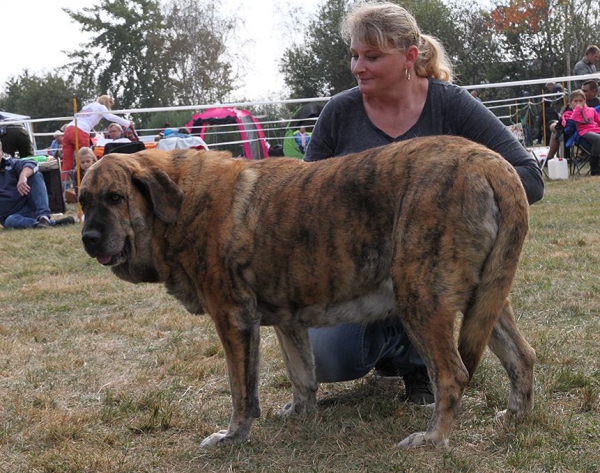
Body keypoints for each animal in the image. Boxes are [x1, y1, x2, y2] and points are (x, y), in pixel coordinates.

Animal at [78, 135, 536, 448]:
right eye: (83, 201)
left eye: (115, 198)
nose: (88, 238)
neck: (184, 204)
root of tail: (490, 164)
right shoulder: (286, 321)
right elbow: (301, 375)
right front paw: (299, 413)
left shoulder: (233, 319)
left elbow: (241, 390)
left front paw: (232, 437)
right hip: (486, 301)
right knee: (522, 357)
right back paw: (514, 418)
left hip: (422, 299)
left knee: (452, 373)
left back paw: (432, 439)